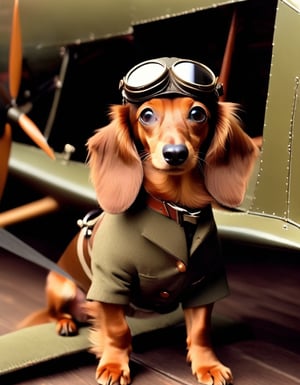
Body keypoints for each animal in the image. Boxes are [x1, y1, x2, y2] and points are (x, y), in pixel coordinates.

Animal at [19, 57, 258, 384]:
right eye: (146, 115)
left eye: (197, 113)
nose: (175, 153)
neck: (174, 208)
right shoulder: (110, 282)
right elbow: (118, 329)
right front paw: (114, 365)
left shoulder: (206, 281)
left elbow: (200, 330)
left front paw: (207, 365)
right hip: (62, 287)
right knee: (59, 312)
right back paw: (65, 322)